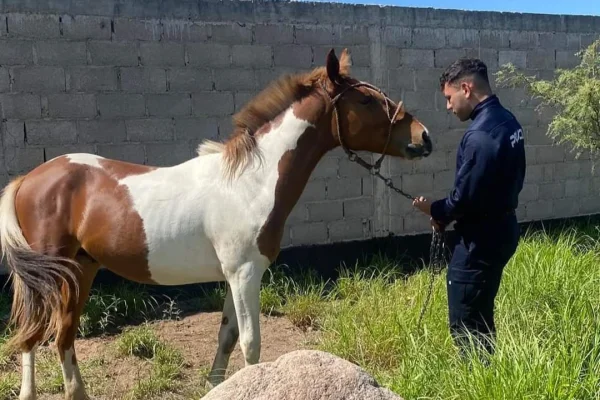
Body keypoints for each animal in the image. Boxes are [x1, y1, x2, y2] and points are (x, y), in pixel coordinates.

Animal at [0, 47, 432, 400]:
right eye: (366, 99)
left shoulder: (234, 276)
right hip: (50, 275)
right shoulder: (245, 273)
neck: (250, 183)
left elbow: (227, 337)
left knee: (62, 334)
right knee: (32, 334)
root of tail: (29, 179)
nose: (423, 137)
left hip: (81, 269)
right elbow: (251, 345)